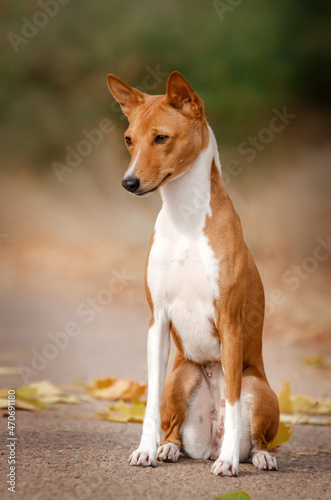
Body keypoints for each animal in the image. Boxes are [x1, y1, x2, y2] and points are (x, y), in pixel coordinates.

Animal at [107, 71, 280, 476]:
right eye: (128, 139)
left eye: (161, 138)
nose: (129, 182)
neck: (185, 221)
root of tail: (207, 443)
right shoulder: (157, 320)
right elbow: (150, 401)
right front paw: (146, 450)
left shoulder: (229, 321)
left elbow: (232, 401)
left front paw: (229, 461)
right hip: (183, 374)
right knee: (173, 427)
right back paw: (168, 448)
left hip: (258, 386)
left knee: (257, 433)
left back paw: (255, 455)